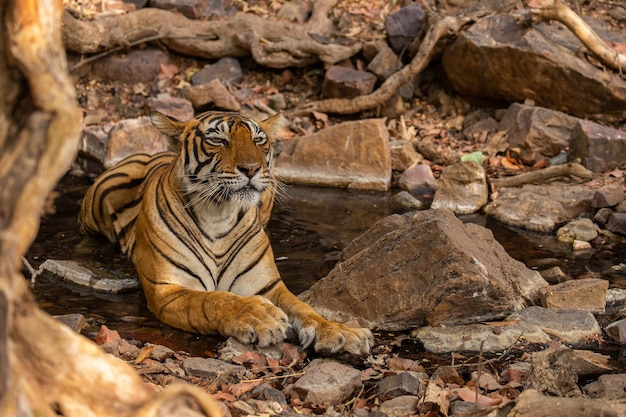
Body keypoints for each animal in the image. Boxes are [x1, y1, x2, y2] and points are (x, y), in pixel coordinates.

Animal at [77, 109, 370, 354]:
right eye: (218, 140)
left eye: (258, 140)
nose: (251, 168)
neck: (218, 214)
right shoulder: (167, 289)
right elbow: (212, 300)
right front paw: (260, 317)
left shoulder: (267, 285)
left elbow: (304, 308)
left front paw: (342, 332)